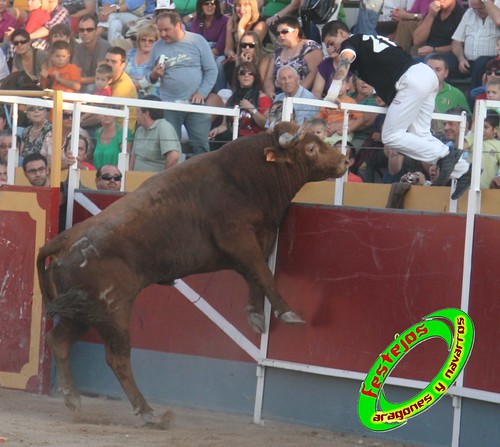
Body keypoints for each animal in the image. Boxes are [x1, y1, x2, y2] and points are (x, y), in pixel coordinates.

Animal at [37, 121, 348, 428]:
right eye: (310, 148)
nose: (345, 161)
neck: (249, 174)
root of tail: (64, 240)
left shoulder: (253, 243)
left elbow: (253, 274)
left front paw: (255, 314)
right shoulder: (237, 238)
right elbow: (262, 272)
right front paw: (287, 313)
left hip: (82, 312)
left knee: (58, 342)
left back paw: (74, 401)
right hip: (113, 311)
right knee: (117, 357)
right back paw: (149, 413)